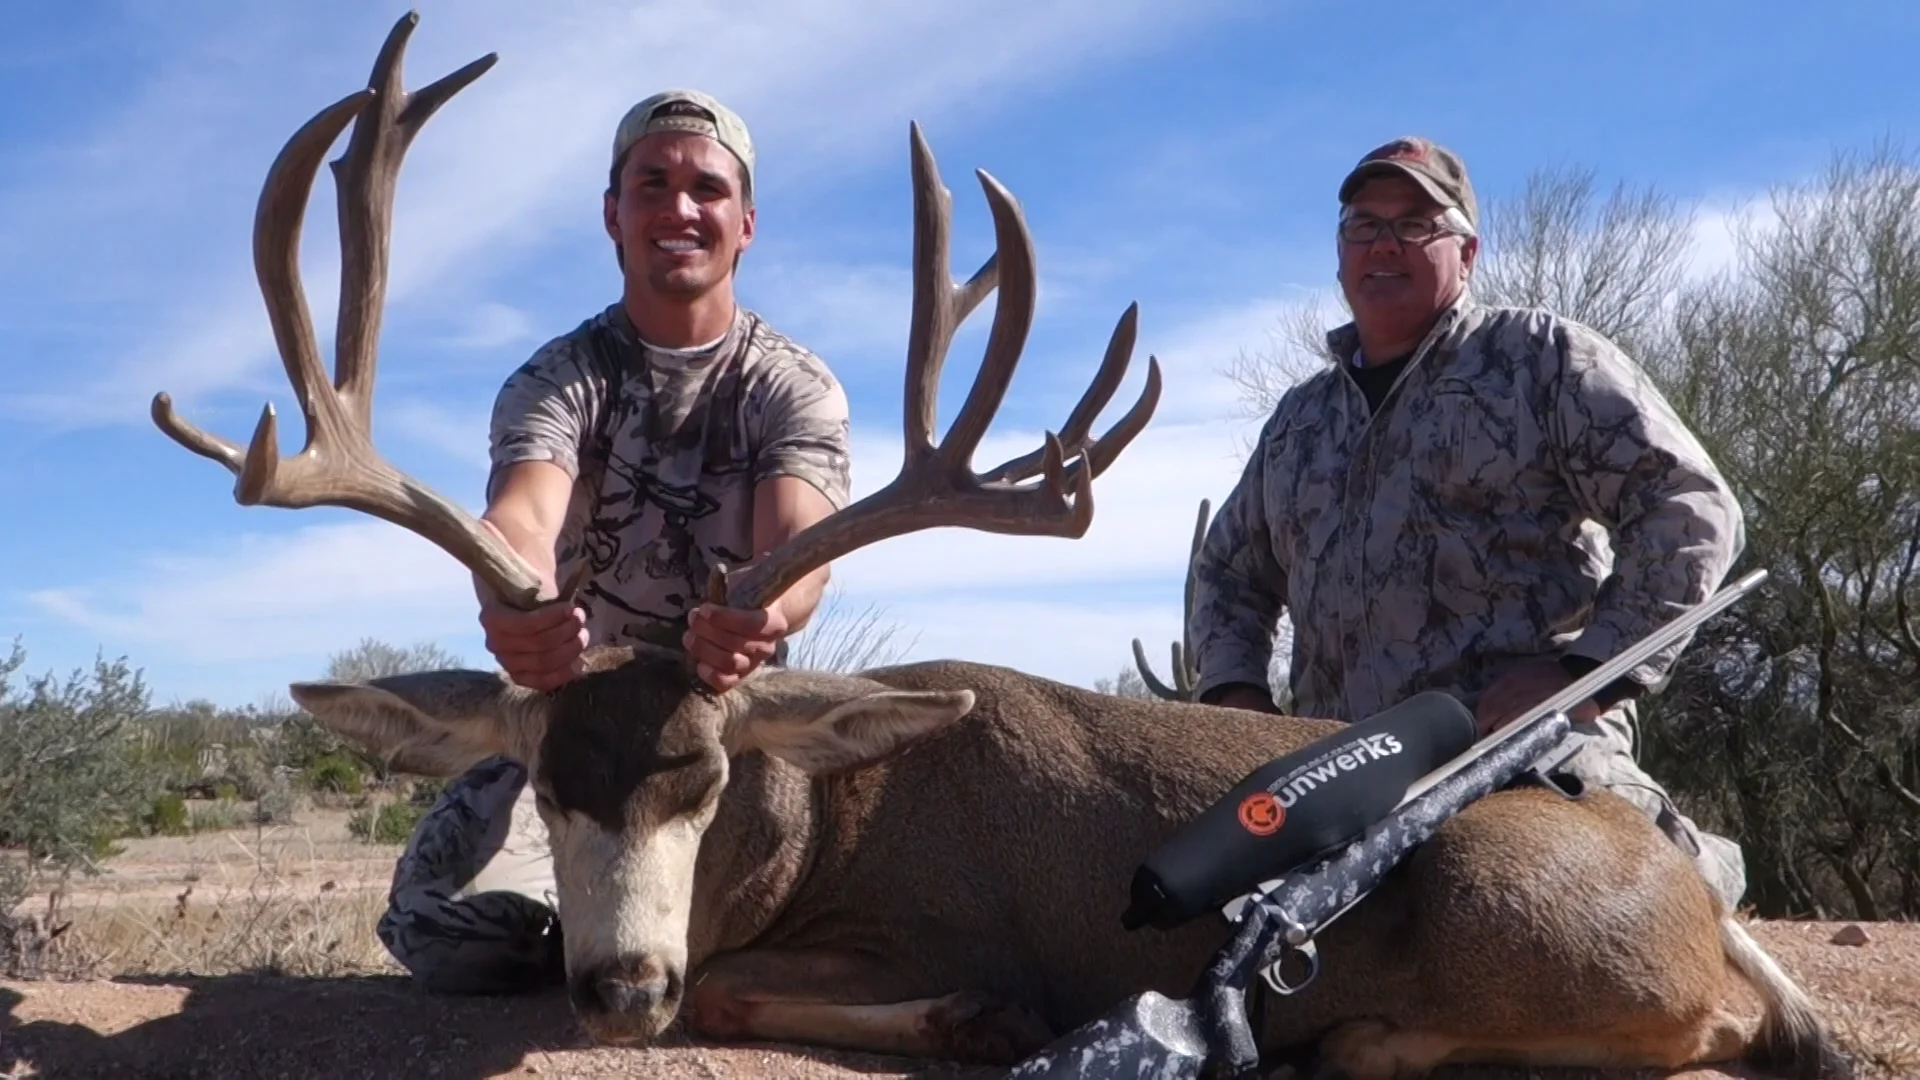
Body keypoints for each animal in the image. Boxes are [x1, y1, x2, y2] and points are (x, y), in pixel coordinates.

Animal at [151, 13, 1848, 1080]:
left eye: (703, 774)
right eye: (547, 781)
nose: (619, 986)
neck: (807, 827)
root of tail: (1690, 887)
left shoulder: (938, 927)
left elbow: (815, 985)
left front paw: (965, 1021)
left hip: (1532, 925)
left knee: (1715, 1029)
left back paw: (1369, 1036)